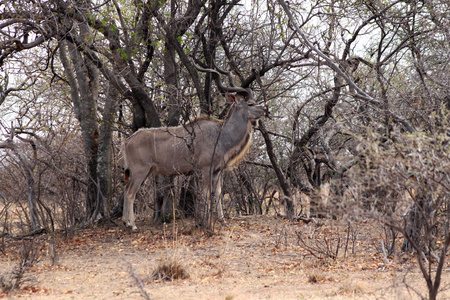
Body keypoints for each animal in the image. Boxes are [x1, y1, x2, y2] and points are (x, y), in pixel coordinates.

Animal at [121, 67, 268, 231]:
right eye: (250, 104)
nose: (265, 110)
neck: (220, 134)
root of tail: (127, 141)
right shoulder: (205, 169)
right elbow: (206, 194)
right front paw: (207, 223)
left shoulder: (217, 171)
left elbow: (218, 193)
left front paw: (222, 221)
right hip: (141, 170)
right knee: (130, 193)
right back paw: (133, 225)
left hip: (142, 171)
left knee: (126, 189)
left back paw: (125, 222)